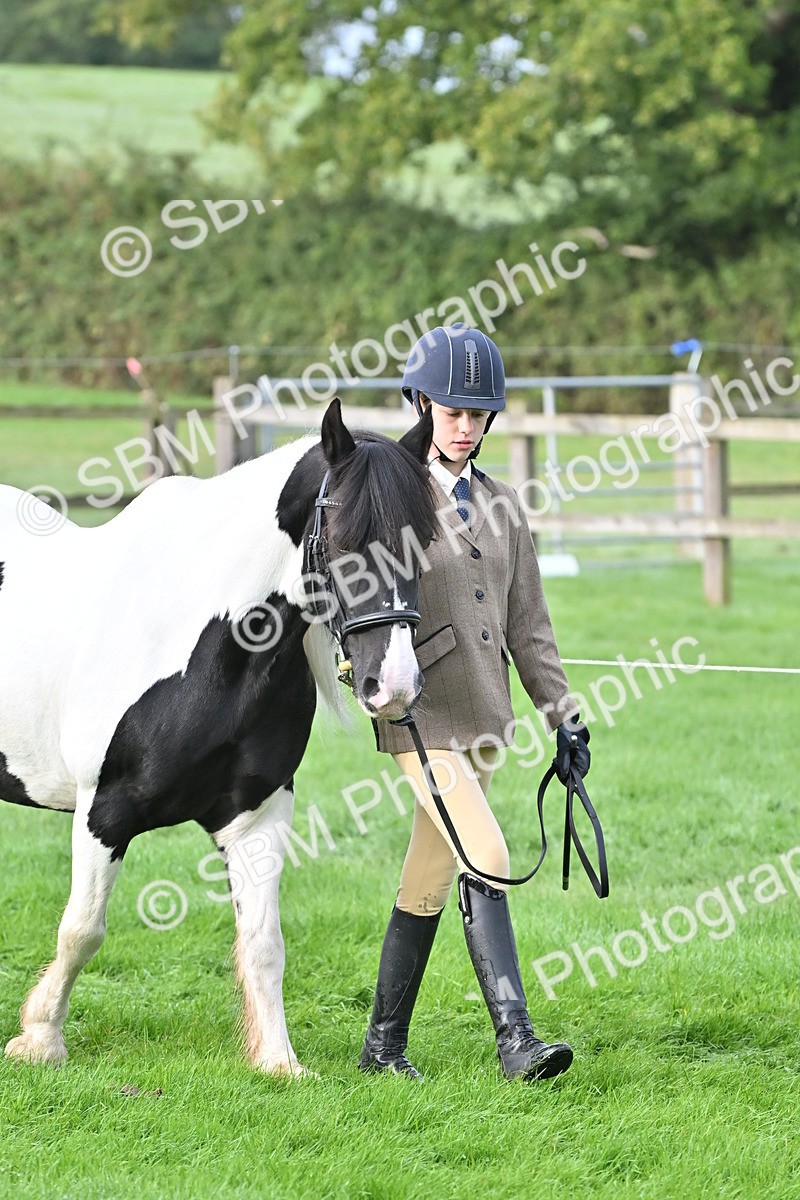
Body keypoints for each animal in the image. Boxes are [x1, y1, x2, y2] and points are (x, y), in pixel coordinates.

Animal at [0, 398, 435, 1075]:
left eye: (426, 543)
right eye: (342, 539)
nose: (392, 686)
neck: (212, 643)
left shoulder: (256, 814)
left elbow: (264, 941)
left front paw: (279, 1061)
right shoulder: (104, 812)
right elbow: (83, 929)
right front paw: (41, 1039)